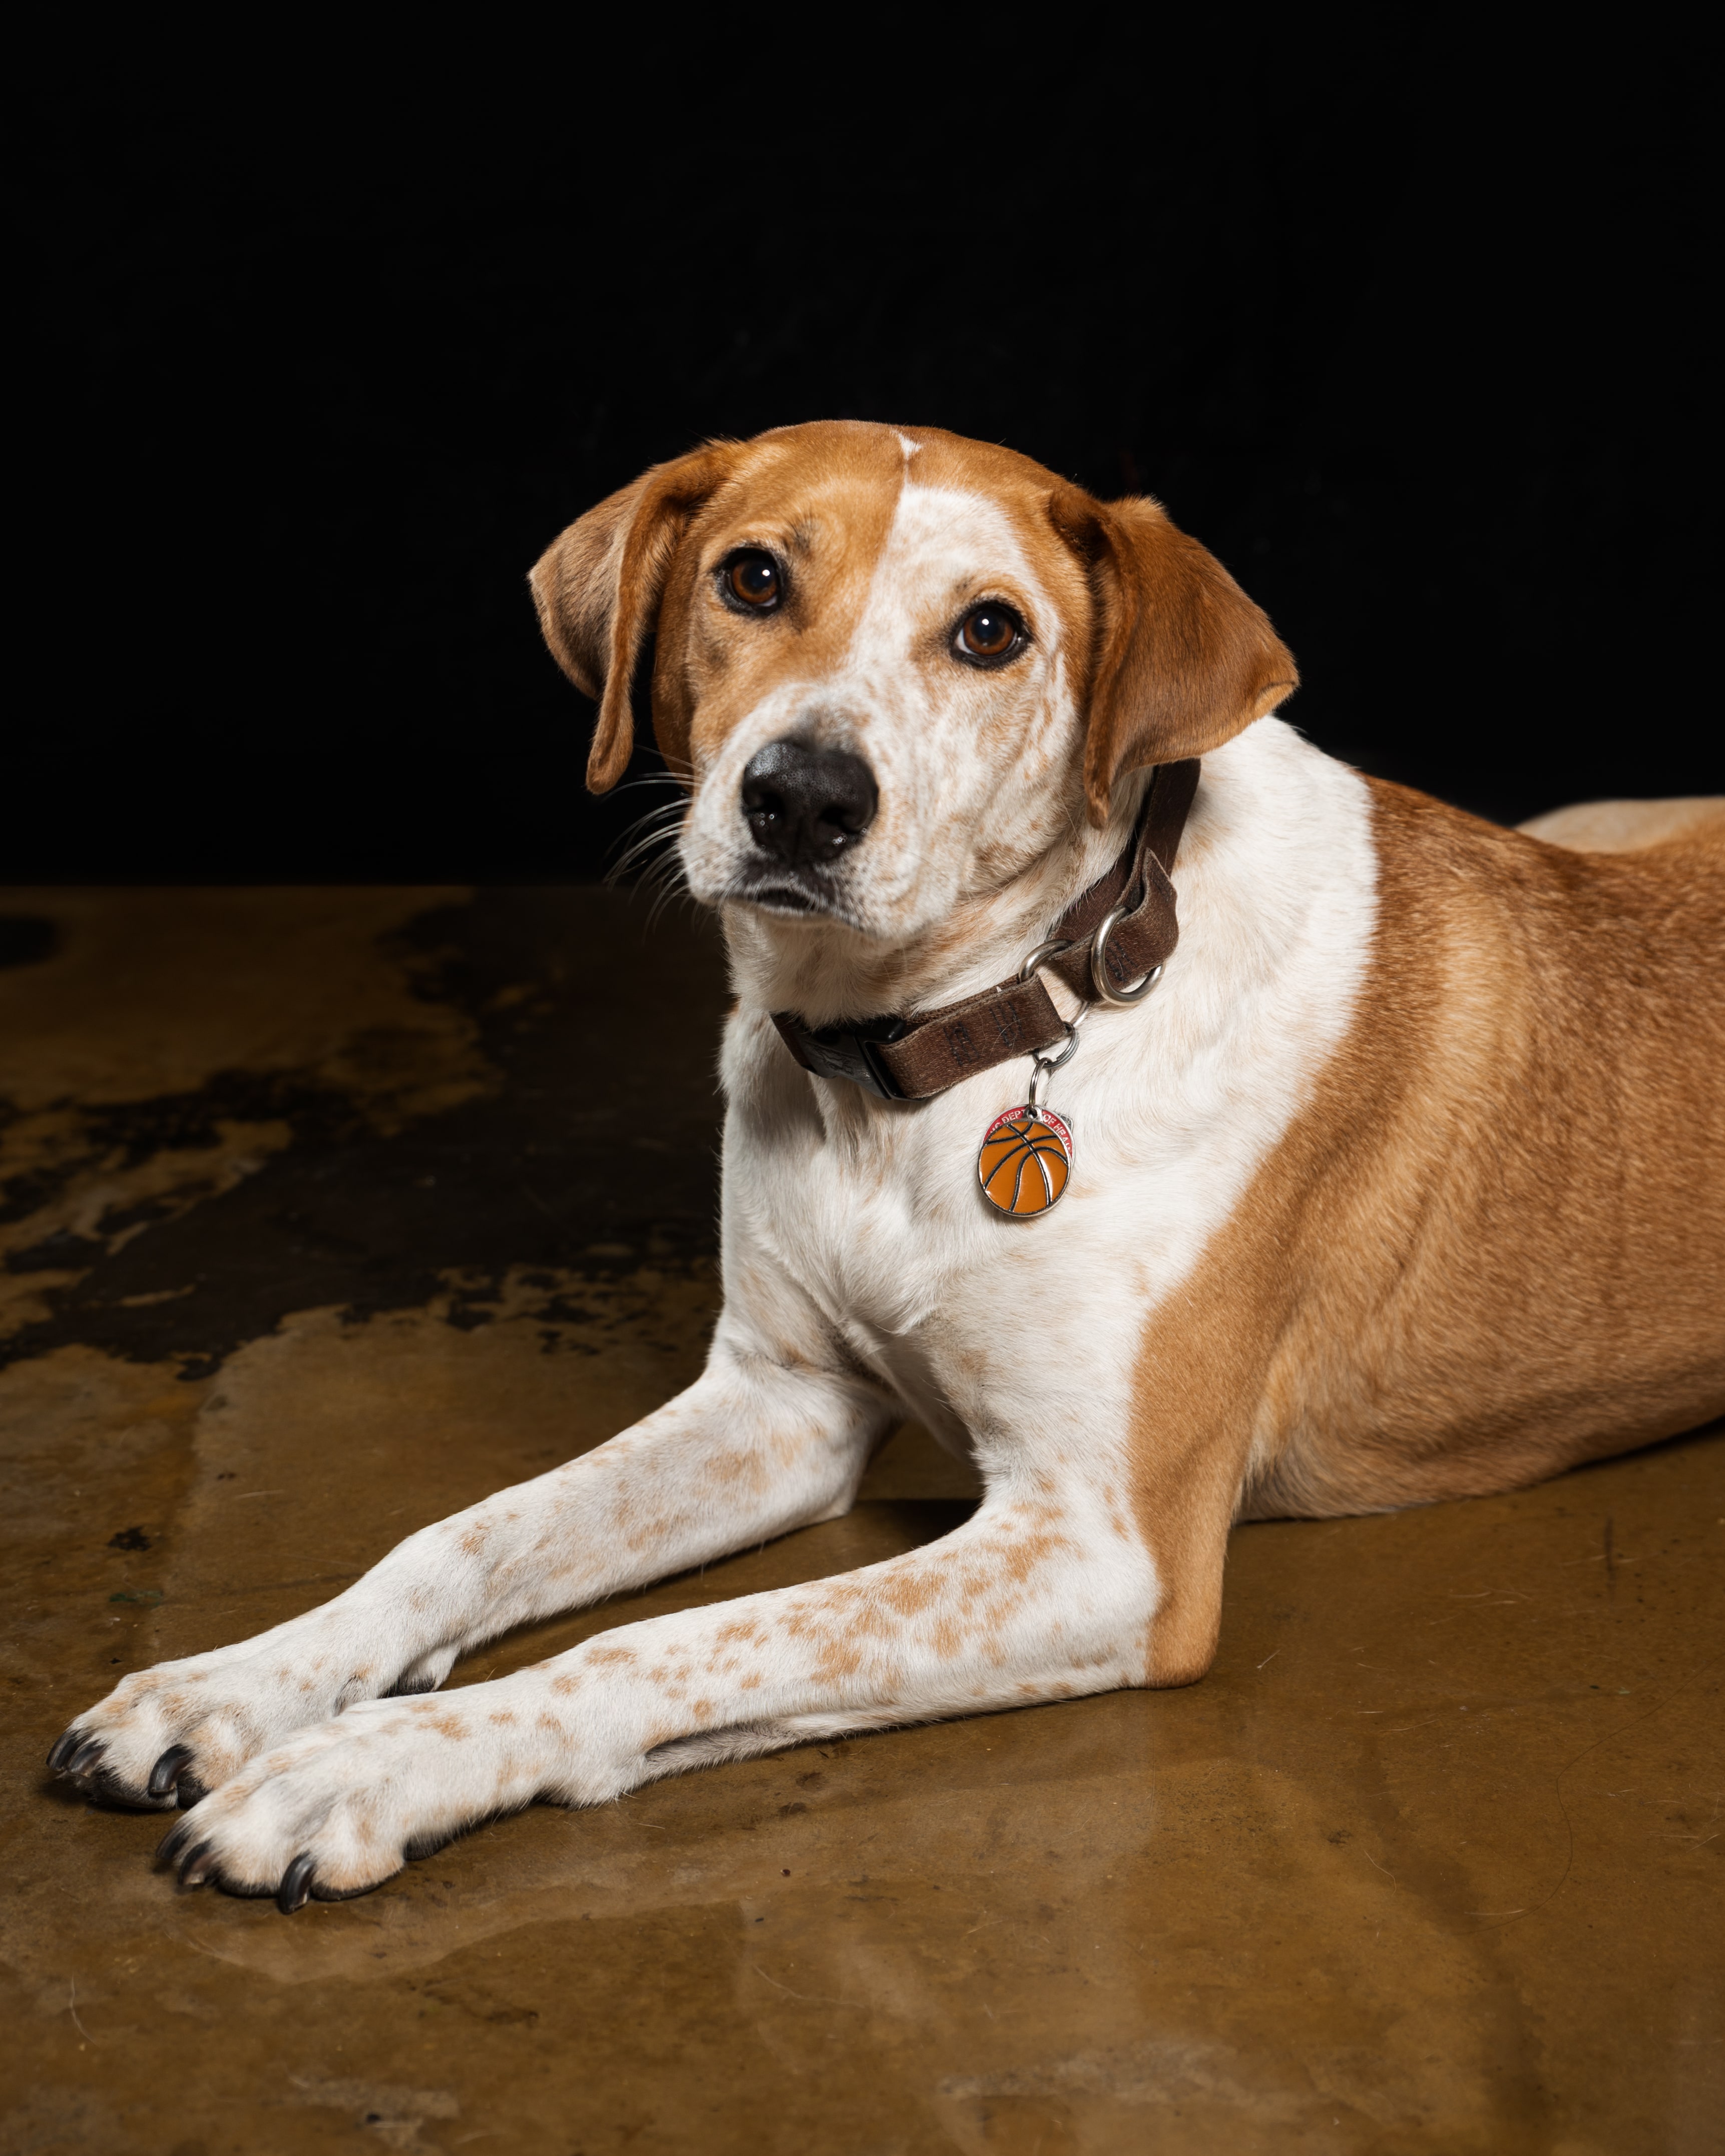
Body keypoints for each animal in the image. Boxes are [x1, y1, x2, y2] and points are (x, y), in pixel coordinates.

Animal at [44, 416, 1725, 1906]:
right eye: (750, 577)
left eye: (989, 630)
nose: (799, 795)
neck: (939, 1048)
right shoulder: (779, 1404)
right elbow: (459, 1535)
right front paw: (236, 1686)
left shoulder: (1099, 1548)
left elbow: (660, 1638)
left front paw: (371, 1762)